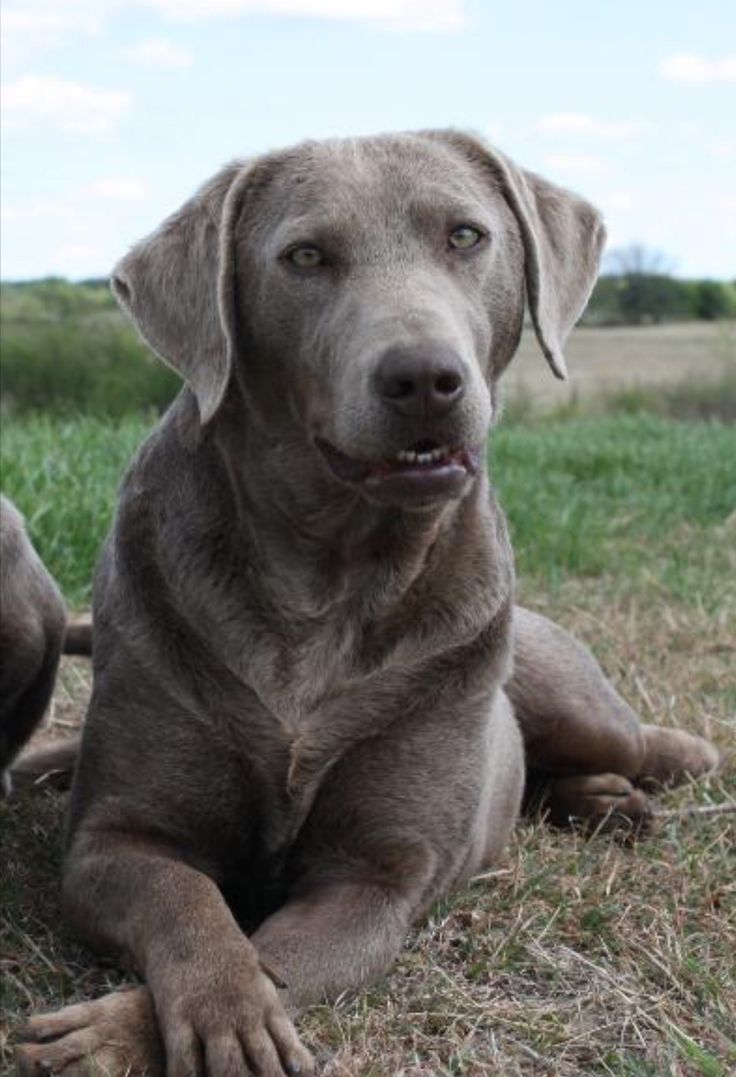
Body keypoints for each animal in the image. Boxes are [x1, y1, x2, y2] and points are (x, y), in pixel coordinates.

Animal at [18, 132, 719, 1077]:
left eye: (466, 236)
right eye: (305, 256)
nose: (424, 376)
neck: (330, 575)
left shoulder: (375, 878)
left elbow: (276, 956)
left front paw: (124, 1030)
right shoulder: (115, 838)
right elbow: (191, 904)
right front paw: (201, 1011)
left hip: (578, 703)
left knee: (642, 742)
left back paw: (645, 780)